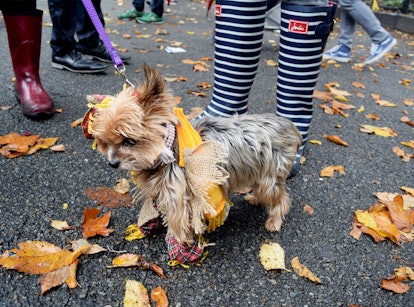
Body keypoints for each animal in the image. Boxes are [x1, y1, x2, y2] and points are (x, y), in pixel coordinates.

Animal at [92, 65, 302, 248]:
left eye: (129, 141)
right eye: (105, 141)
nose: (112, 163)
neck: (169, 148)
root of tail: (290, 126)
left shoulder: (179, 194)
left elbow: (180, 220)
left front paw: (181, 241)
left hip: (271, 175)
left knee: (281, 198)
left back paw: (274, 221)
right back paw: (255, 199)